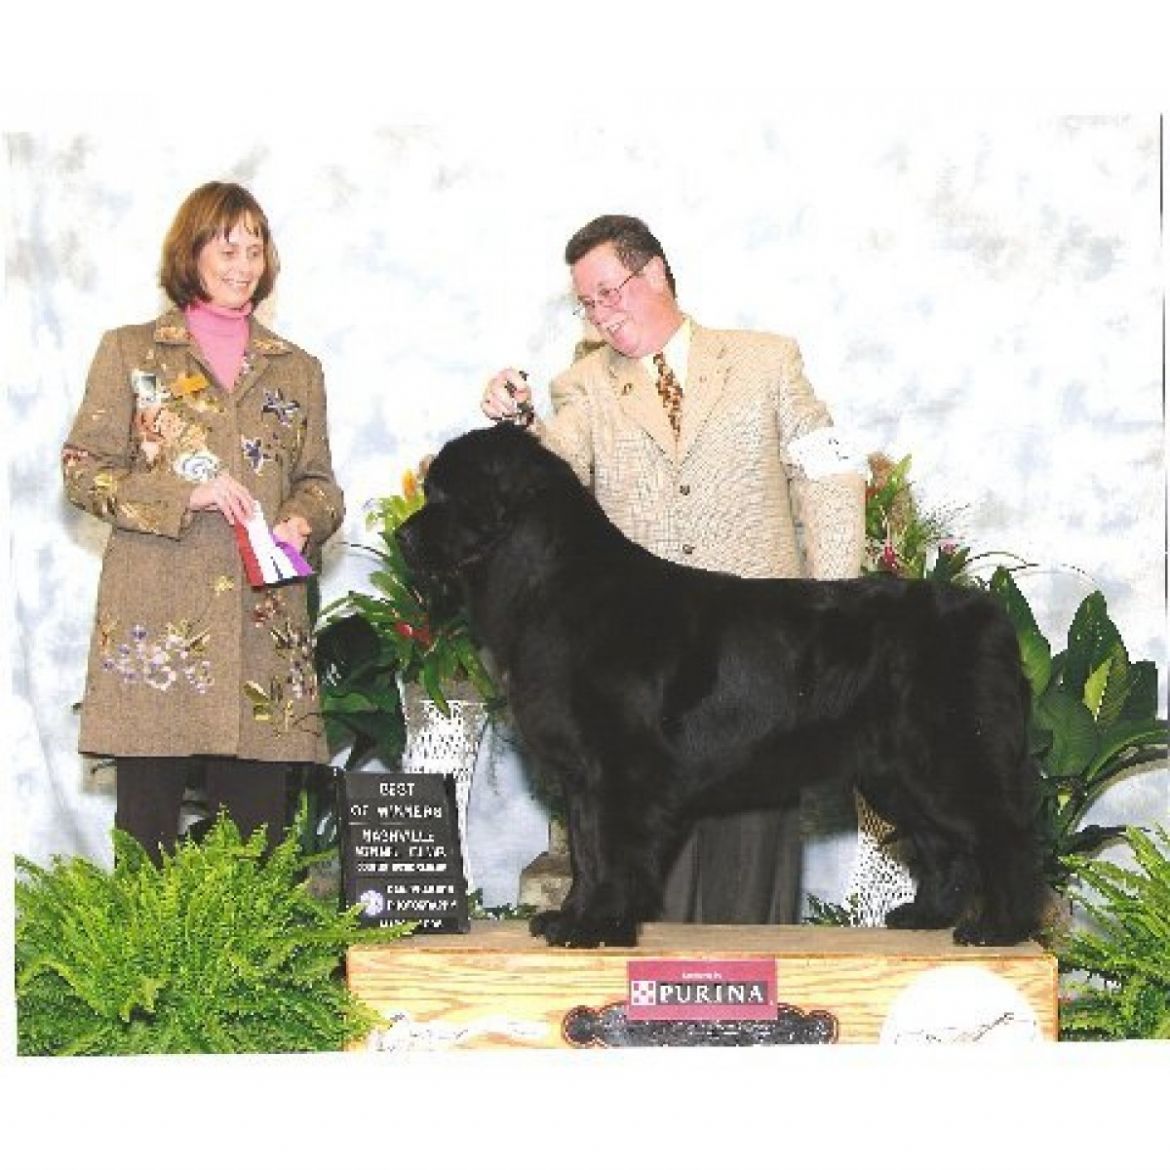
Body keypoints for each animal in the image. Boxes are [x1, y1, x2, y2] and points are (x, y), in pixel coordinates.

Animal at [397, 424, 1045, 948]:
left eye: (443, 496)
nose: (404, 540)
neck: (551, 585)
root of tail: (991, 617)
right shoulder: (583, 775)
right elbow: (585, 848)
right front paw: (571, 917)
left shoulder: (621, 767)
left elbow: (611, 849)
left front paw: (597, 926)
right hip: (898, 774)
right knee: (943, 844)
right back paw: (926, 916)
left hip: (951, 757)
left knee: (1004, 834)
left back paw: (1000, 929)